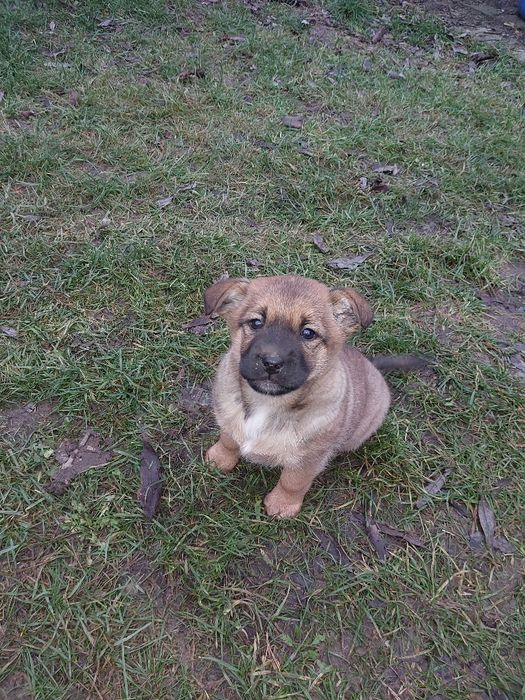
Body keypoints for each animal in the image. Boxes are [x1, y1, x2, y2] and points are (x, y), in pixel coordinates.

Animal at [204, 274, 418, 518]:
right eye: (256, 323)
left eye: (308, 333)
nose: (271, 362)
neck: (267, 402)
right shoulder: (230, 419)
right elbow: (228, 440)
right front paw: (218, 460)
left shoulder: (308, 460)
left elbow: (292, 482)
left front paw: (282, 505)